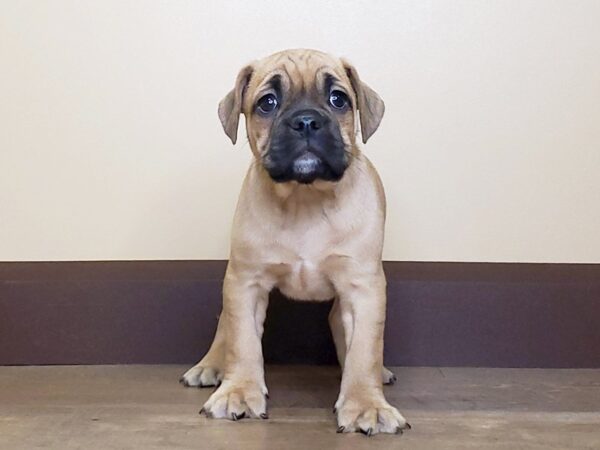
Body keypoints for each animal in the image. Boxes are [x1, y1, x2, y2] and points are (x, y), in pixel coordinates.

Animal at [180, 49, 410, 436]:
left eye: (338, 99)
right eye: (267, 103)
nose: (305, 121)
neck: (306, 197)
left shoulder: (363, 288)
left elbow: (365, 349)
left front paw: (366, 404)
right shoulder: (246, 283)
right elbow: (242, 341)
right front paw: (239, 391)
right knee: (225, 324)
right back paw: (209, 366)